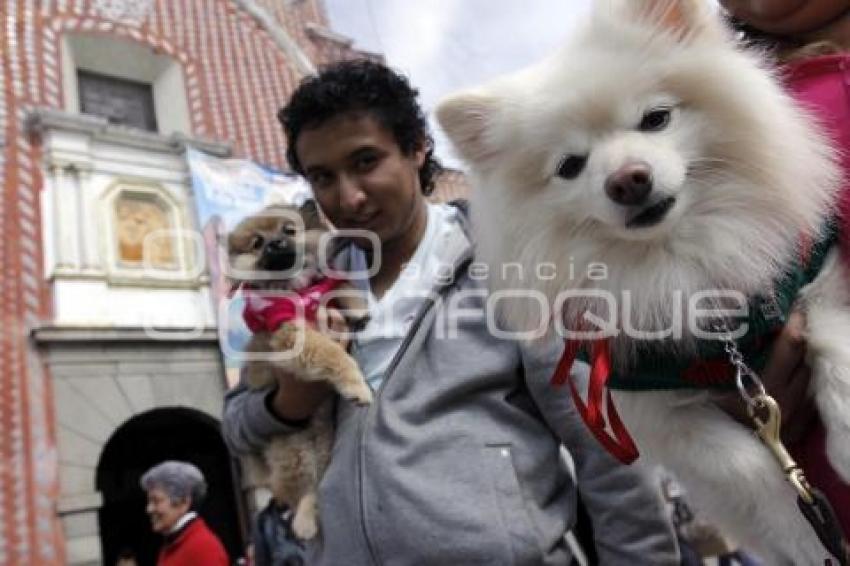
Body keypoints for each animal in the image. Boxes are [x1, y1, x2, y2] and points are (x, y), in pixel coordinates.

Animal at [227, 202, 370, 540]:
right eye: (257, 242)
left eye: (289, 230)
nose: (275, 243)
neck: (297, 291)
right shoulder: (291, 336)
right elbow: (333, 354)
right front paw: (356, 386)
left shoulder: (322, 288)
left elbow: (337, 284)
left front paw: (358, 305)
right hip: (294, 452)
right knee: (298, 492)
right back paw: (303, 521)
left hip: (324, 446)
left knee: (316, 486)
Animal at [438, 1, 848, 564]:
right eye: (570, 165)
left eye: (656, 119)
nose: (628, 179)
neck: (676, 259)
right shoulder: (654, 405)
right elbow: (744, 468)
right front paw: (801, 535)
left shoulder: (815, 276)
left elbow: (833, 344)